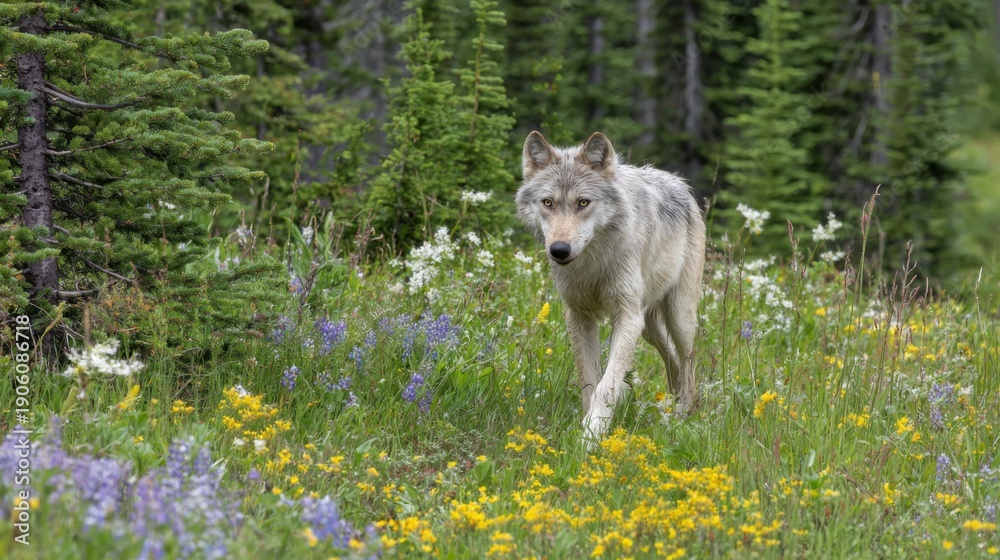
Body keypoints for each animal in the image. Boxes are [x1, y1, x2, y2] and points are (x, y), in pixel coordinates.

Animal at [516, 131, 706, 445]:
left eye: (583, 203)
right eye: (548, 203)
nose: (559, 250)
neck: (592, 264)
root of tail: (680, 182)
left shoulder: (626, 317)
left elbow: (608, 385)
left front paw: (592, 435)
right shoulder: (579, 317)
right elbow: (589, 381)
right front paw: (589, 425)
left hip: (678, 317)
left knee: (688, 363)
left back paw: (681, 415)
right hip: (648, 326)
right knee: (673, 359)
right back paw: (672, 405)